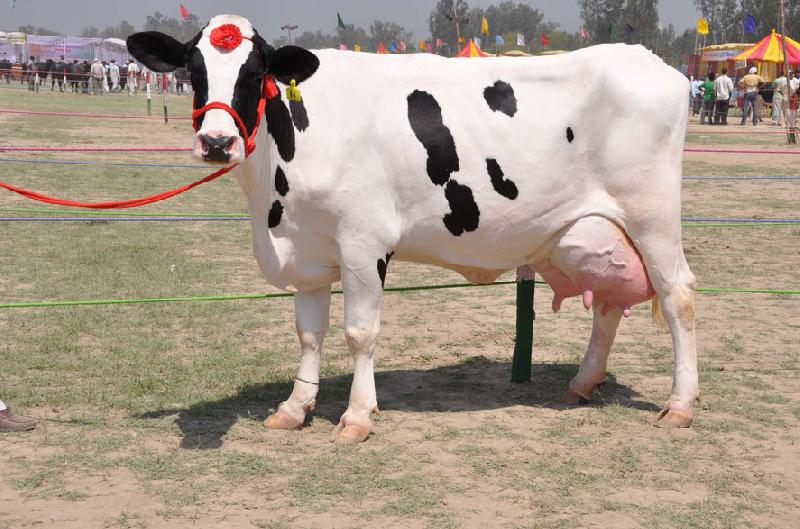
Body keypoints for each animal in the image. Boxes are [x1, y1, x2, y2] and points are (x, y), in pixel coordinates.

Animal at [127, 14, 698, 443]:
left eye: (255, 71)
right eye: (193, 70)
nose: (216, 142)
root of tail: (647, 59)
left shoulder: (363, 241)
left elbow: (360, 333)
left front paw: (357, 416)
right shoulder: (307, 248)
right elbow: (310, 333)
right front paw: (295, 406)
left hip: (652, 217)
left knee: (679, 296)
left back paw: (680, 404)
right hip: (594, 232)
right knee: (608, 305)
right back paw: (582, 384)